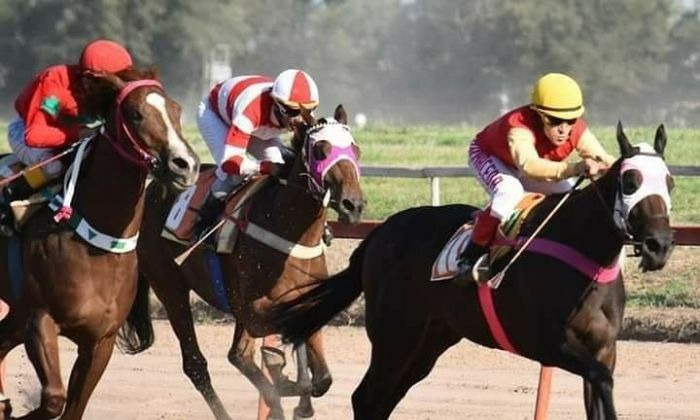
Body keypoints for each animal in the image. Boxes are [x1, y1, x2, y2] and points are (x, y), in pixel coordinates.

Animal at [0, 67, 201, 418]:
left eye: (176, 110)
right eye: (135, 114)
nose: (185, 165)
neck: (96, 247)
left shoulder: (99, 342)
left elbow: (72, 407)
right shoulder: (40, 320)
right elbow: (54, 399)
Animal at [137, 105, 366, 420]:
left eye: (355, 150)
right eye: (321, 151)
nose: (353, 205)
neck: (291, 232)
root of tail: (150, 192)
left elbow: (322, 378)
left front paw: (297, 394)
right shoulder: (251, 307)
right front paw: (286, 380)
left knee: (239, 356)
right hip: (170, 285)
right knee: (196, 364)